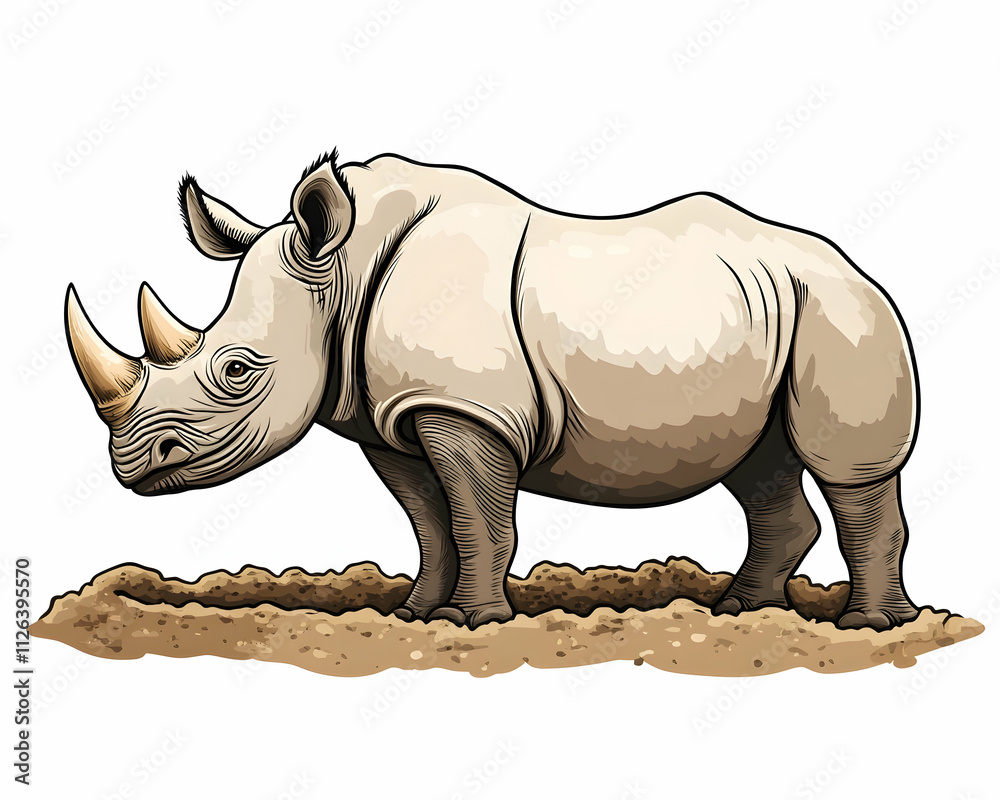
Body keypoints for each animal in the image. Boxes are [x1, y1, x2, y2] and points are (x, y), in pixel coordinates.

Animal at [65, 151, 921, 630]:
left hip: (839, 312)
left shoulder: (464, 409)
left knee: (849, 472)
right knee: (758, 464)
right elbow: (430, 521)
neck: (340, 272)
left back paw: (870, 630)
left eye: (237, 371)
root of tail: (858, 267)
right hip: (770, 312)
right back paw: (740, 611)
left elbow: (480, 518)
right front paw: (415, 614)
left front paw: (471, 622)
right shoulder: (392, 415)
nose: (130, 467)